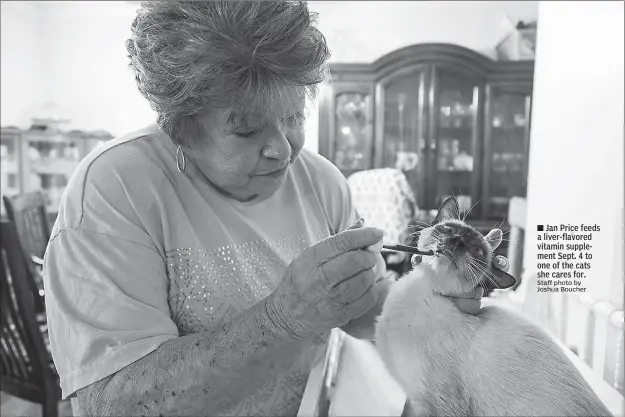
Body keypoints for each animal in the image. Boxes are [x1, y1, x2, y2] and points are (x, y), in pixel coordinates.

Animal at [372, 197, 612, 414]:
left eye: (477, 251)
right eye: (449, 229)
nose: (456, 241)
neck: (426, 292)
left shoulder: (432, 404)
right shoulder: (414, 400)